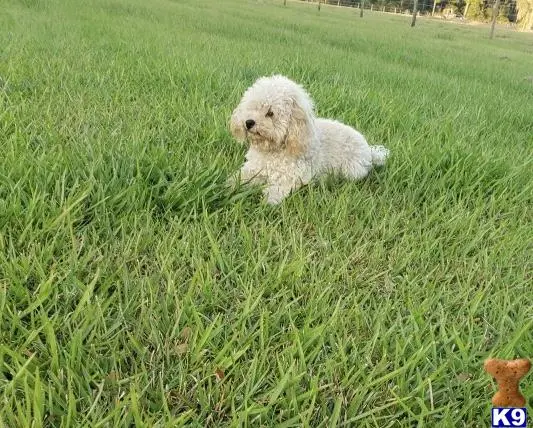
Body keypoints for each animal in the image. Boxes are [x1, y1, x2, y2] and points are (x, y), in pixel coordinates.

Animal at [228, 74, 386, 205]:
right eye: (251, 107)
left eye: (270, 113)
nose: (248, 122)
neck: (273, 150)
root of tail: (369, 151)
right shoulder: (253, 168)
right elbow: (239, 178)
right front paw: (229, 186)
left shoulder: (290, 176)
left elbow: (276, 190)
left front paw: (267, 203)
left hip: (352, 170)